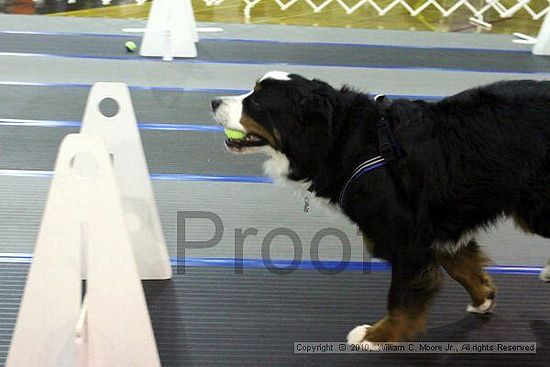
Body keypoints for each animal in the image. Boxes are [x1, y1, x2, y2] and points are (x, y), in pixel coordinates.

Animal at [211, 71, 550, 348]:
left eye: (256, 101)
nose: (214, 101)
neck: (350, 143)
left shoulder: (407, 240)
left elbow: (401, 298)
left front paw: (377, 335)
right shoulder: (438, 226)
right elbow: (462, 265)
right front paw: (484, 296)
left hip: (534, 209)